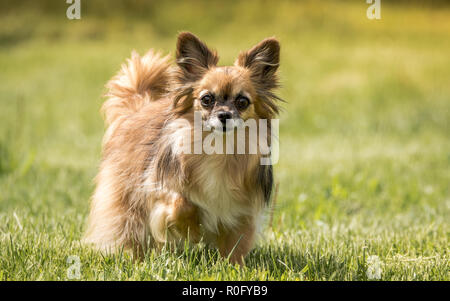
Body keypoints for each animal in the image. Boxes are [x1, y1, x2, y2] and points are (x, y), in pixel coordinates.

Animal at [83, 31, 282, 264]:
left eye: (242, 101)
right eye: (207, 99)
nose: (224, 115)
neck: (220, 149)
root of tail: (139, 108)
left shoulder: (242, 212)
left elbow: (235, 247)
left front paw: (234, 267)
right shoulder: (161, 192)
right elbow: (183, 204)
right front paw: (193, 231)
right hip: (129, 206)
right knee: (130, 233)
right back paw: (136, 259)